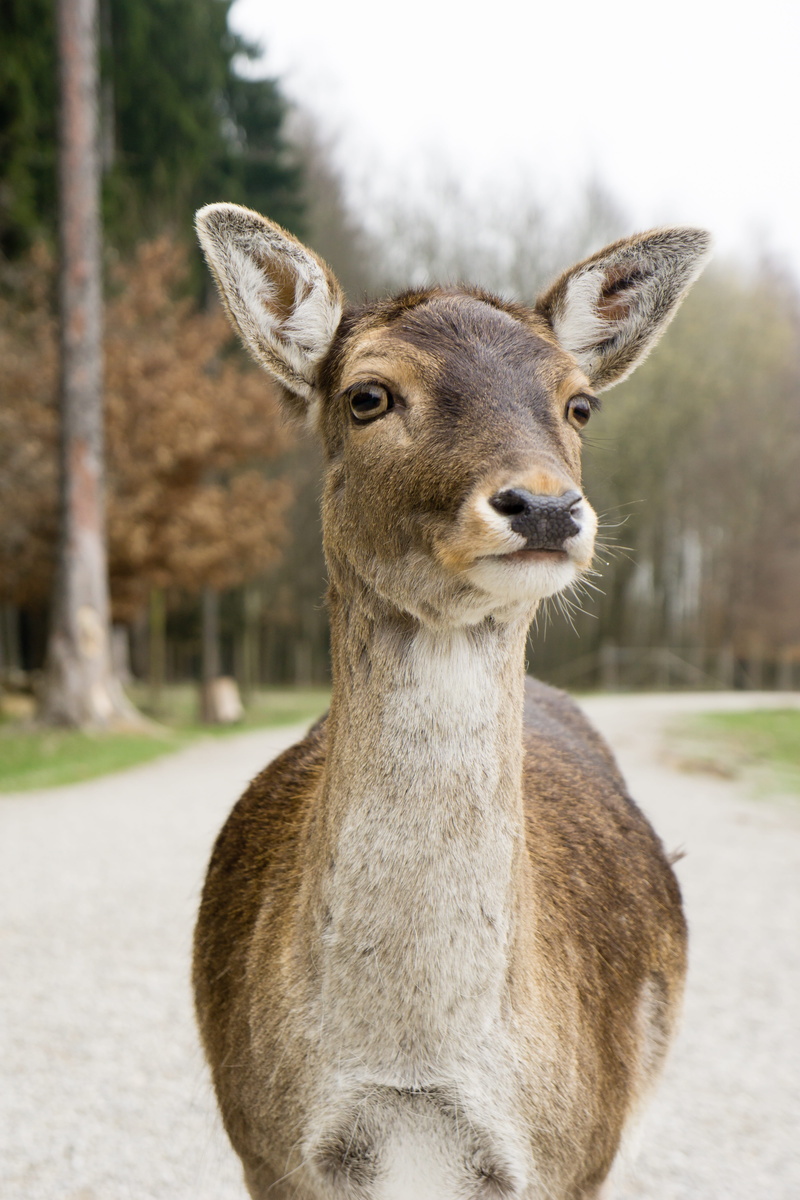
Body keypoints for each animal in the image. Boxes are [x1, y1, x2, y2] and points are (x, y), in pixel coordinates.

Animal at [192, 202, 710, 1200]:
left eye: (578, 403)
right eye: (368, 395)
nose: (545, 507)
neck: (412, 1077)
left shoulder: (575, 1149)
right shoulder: (263, 1142)